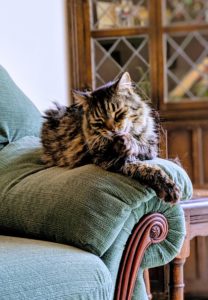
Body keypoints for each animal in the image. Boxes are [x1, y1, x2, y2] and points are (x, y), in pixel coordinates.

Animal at [41, 72, 180, 204]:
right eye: (99, 122)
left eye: (119, 114)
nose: (112, 130)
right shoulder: (110, 160)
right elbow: (147, 169)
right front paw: (168, 189)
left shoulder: (149, 148)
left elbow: (141, 149)